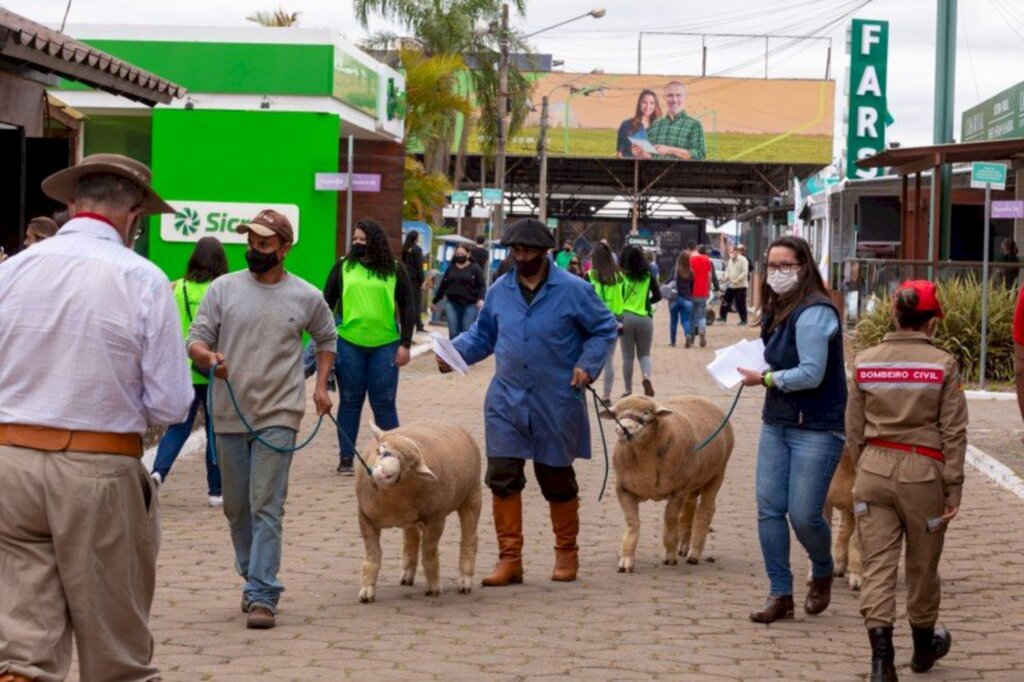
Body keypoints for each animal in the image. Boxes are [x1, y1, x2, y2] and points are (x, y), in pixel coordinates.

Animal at [354, 419, 481, 602]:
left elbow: (429, 552)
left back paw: (465, 581)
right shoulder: (365, 517)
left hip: (472, 494)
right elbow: (373, 554)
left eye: (409, 467)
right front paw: (367, 590)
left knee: (469, 538)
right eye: (381, 449)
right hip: (412, 521)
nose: (385, 473)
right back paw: (407, 574)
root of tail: (441, 421)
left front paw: (433, 587)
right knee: (411, 539)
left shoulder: (436, 518)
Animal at [598, 393, 737, 569]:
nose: (622, 430)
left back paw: (694, 553)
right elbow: (632, 523)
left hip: (717, 474)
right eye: (616, 414)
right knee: (690, 508)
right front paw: (626, 559)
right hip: (692, 483)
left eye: (647, 413)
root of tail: (698, 397)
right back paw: (684, 546)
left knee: (705, 510)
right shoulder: (623, 489)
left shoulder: (677, 491)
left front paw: (670, 556)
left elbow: (670, 521)